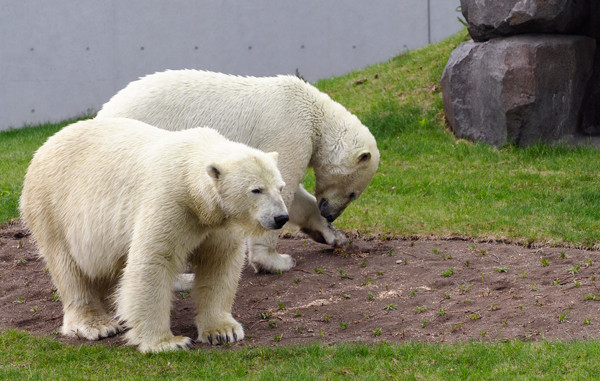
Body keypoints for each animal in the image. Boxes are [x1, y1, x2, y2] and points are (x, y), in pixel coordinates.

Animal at [19, 117, 288, 352]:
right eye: (256, 190)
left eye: (280, 187)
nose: (281, 217)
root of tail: (44, 145)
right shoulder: (171, 200)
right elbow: (153, 261)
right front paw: (168, 342)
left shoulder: (218, 223)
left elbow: (219, 261)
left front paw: (223, 331)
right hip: (52, 207)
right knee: (69, 268)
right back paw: (97, 324)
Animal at [98, 69, 380, 274]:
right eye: (353, 193)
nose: (331, 214)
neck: (315, 113)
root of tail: (102, 114)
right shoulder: (289, 130)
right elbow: (284, 186)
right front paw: (276, 261)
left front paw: (335, 236)